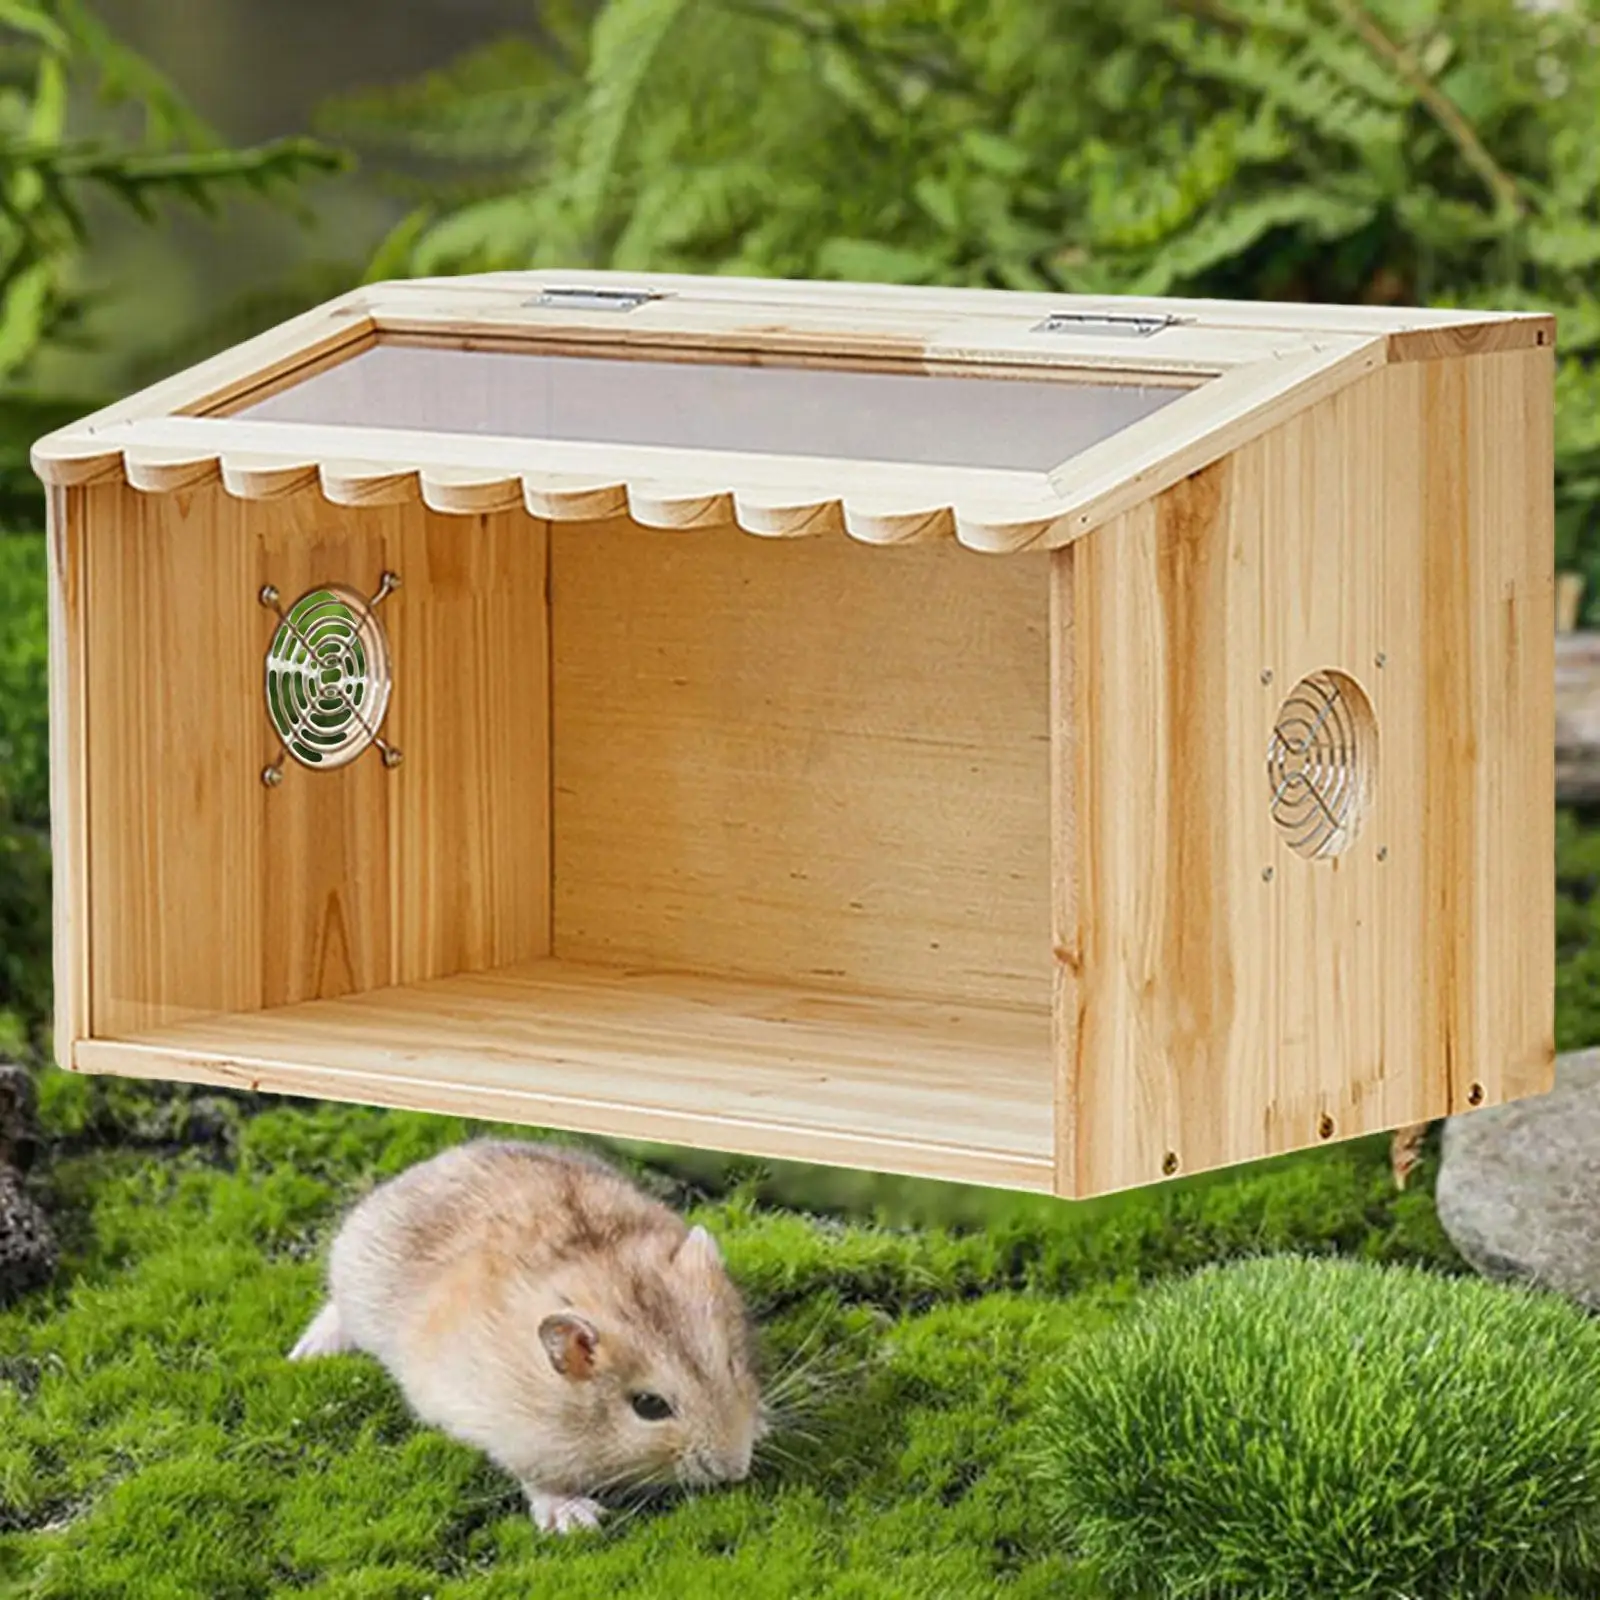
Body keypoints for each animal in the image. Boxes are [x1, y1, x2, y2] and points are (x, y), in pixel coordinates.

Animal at [288, 1138, 766, 1534]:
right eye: (650, 1406)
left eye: (731, 1364)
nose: (737, 1470)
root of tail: (427, 1165)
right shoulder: (510, 1432)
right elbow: (538, 1478)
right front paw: (577, 1522)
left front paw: (760, 1425)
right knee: (335, 1310)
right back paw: (307, 1354)